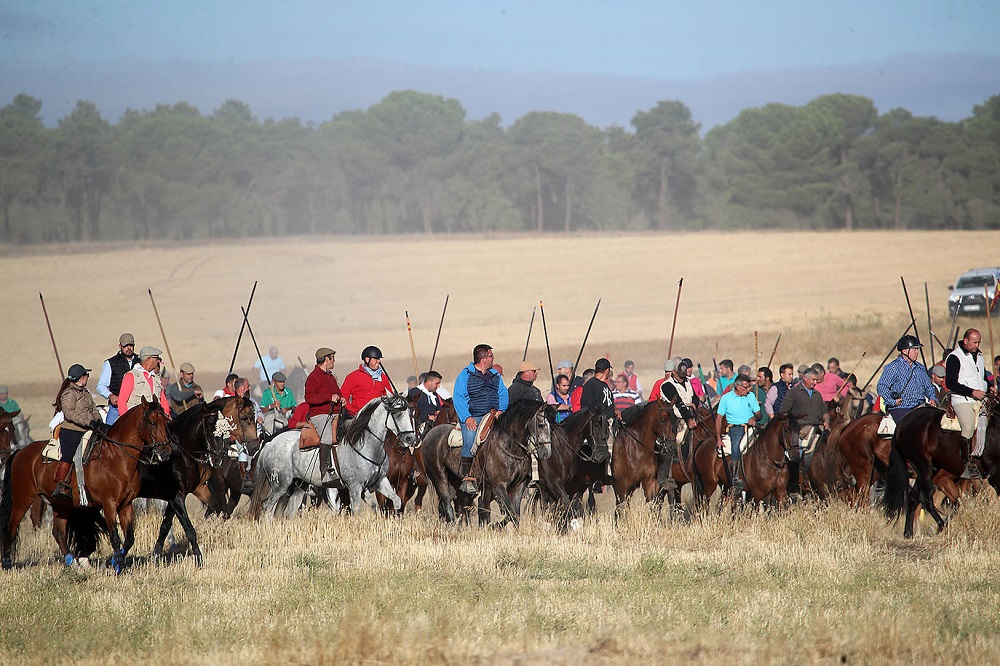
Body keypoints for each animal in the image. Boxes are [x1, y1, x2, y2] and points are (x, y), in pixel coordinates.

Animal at [0, 400, 170, 572]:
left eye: (165, 422)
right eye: (152, 422)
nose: (166, 452)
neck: (117, 457)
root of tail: (20, 452)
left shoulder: (126, 504)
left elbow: (129, 538)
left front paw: (118, 562)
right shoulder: (109, 504)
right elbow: (115, 537)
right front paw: (117, 566)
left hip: (60, 504)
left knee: (58, 533)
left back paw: (73, 564)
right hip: (22, 500)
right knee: (11, 527)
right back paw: (7, 563)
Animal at [252, 394, 420, 520]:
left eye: (411, 414)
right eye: (397, 413)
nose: (411, 439)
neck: (366, 445)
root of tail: (270, 444)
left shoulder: (380, 481)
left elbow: (395, 502)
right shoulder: (354, 487)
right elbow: (356, 510)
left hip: (298, 486)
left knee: (289, 510)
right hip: (280, 484)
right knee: (267, 506)